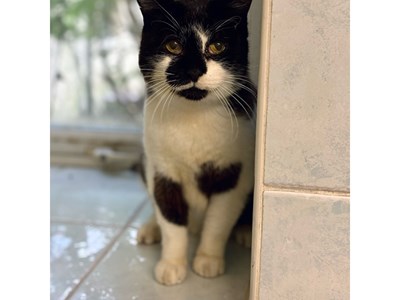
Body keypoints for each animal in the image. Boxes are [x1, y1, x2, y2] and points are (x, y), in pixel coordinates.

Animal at [136, 0, 256, 286]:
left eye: (217, 46)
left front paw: (208, 260)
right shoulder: (161, 169)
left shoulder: (234, 171)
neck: (194, 117)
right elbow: (170, 219)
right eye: (173, 46)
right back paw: (150, 228)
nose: (193, 70)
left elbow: (218, 219)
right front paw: (172, 264)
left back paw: (246, 231)